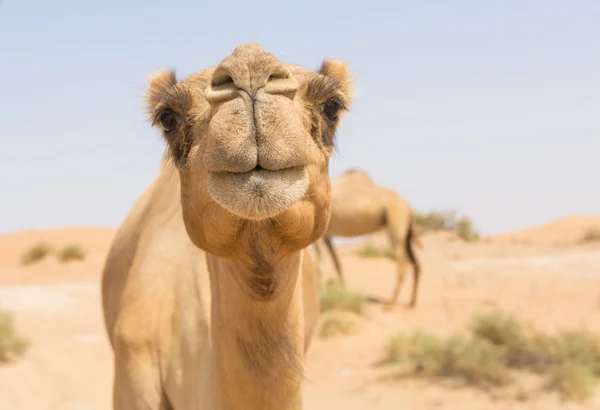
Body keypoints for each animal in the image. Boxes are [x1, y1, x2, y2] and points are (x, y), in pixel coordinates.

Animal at [314, 169, 422, 308]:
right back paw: (411, 303)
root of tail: (409, 209)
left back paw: (391, 304)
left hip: (396, 219)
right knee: (416, 263)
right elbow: (337, 263)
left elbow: (319, 265)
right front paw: (343, 292)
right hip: (406, 233)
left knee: (401, 265)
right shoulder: (327, 235)